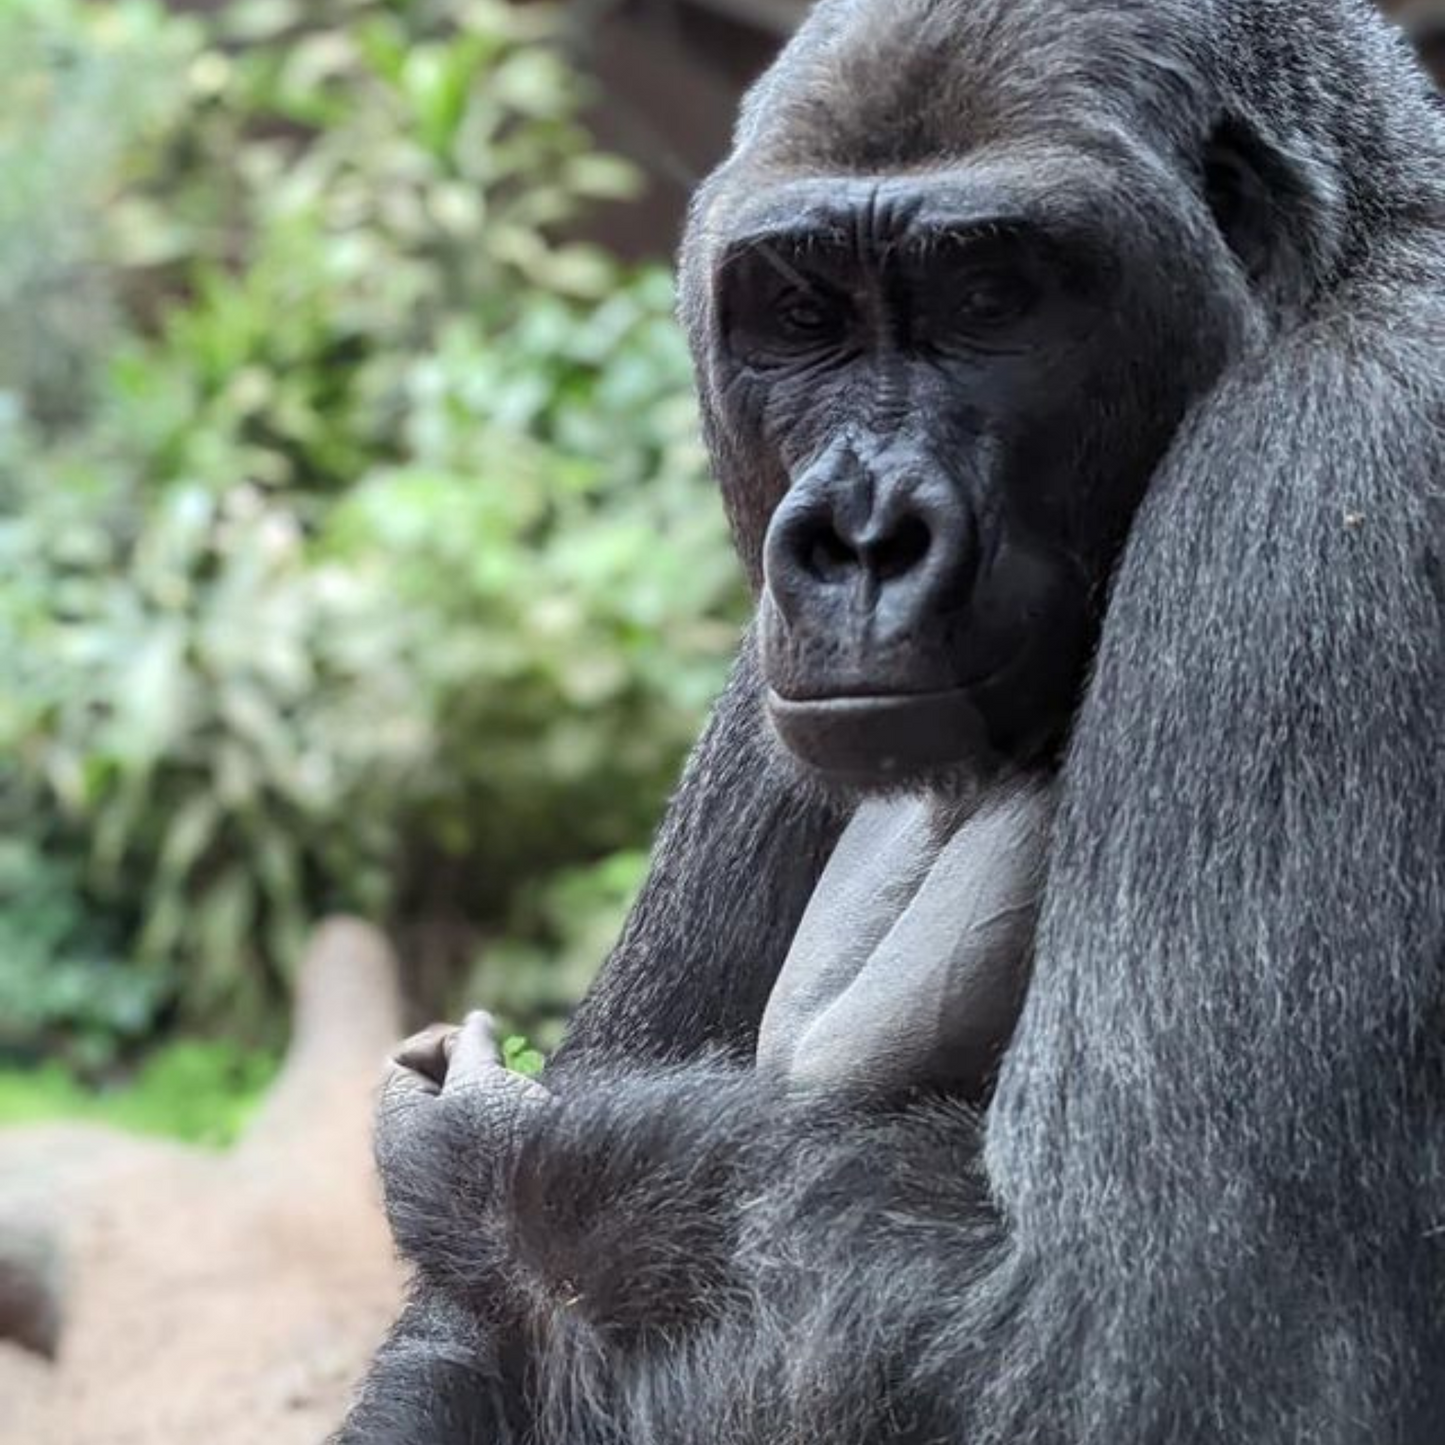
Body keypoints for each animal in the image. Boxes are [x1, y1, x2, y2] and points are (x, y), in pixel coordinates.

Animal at [332, 2, 1445, 1445]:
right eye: (802, 314)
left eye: (988, 298)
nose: (858, 537)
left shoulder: (1341, 459)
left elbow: (1138, 1340)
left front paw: (491, 1155)